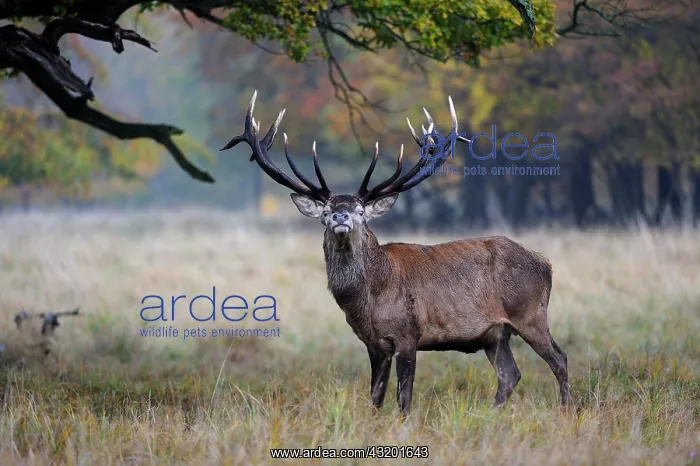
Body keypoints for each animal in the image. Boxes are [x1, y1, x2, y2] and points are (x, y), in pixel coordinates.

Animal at [219, 91, 571, 416]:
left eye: (361, 211)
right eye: (327, 211)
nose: (341, 217)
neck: (370, 300)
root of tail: (546, 263)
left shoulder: (408, 334)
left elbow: (404, 398)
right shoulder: (373, 343)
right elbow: (375, 396)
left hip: (530, 313)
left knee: (559, 358)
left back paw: (567, 411)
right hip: (495, 335)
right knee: (510, 374)